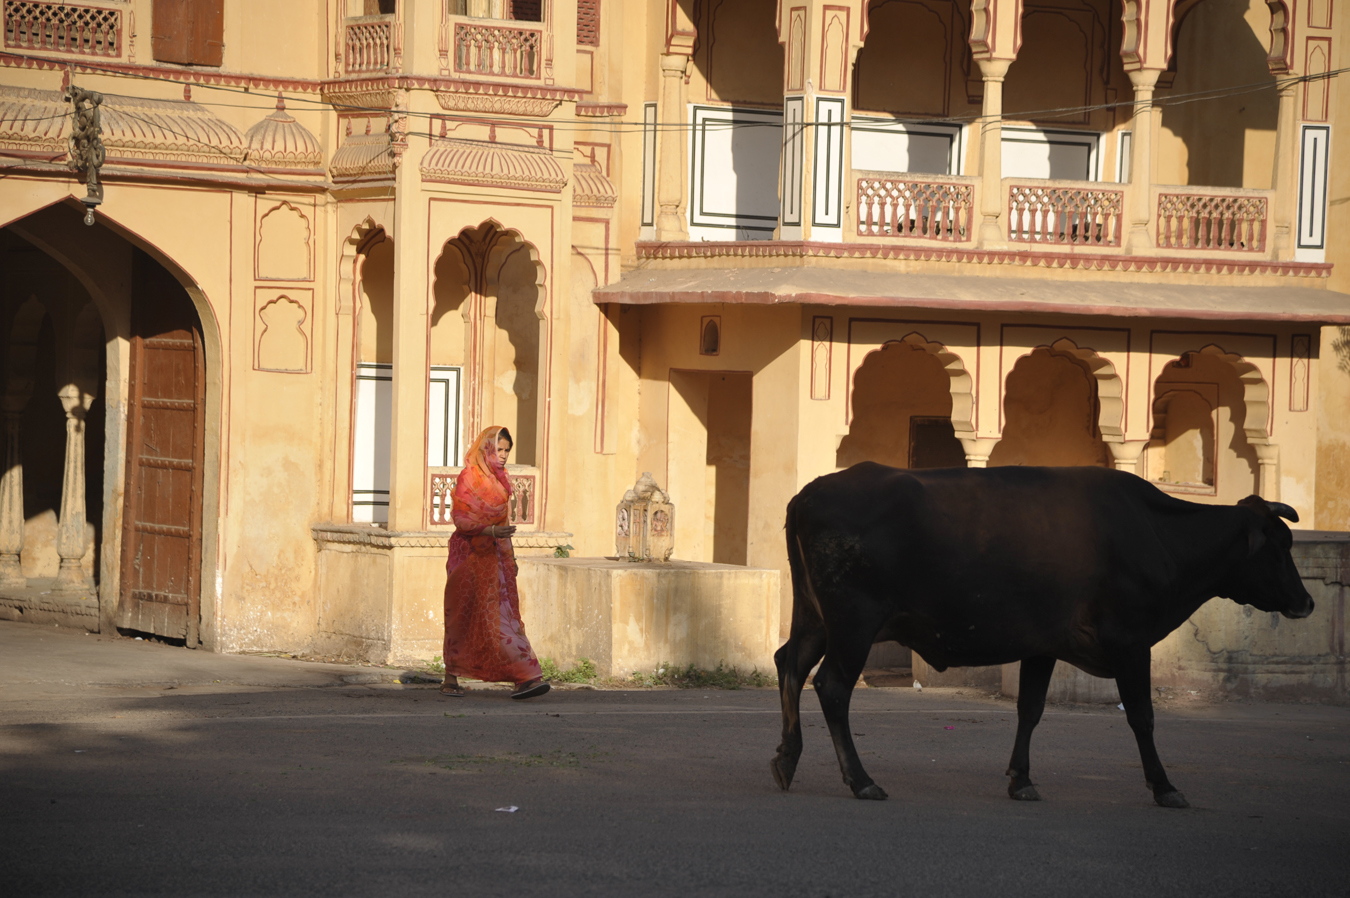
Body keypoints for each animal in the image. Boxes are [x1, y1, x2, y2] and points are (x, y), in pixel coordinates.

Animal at [777, 461, 1312, 804]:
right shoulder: (1130, 640)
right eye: (1279, 546)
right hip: (853, 624)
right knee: (832, 687)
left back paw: (786, 759)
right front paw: (1164, 786)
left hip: (815, 618)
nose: (1306, 601)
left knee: (789, 664)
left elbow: (1030, 710)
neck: (1158, 534)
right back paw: (860, 779)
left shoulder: (1043, 644)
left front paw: (1021, 780)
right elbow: (1142, 716)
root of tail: (808, 493)